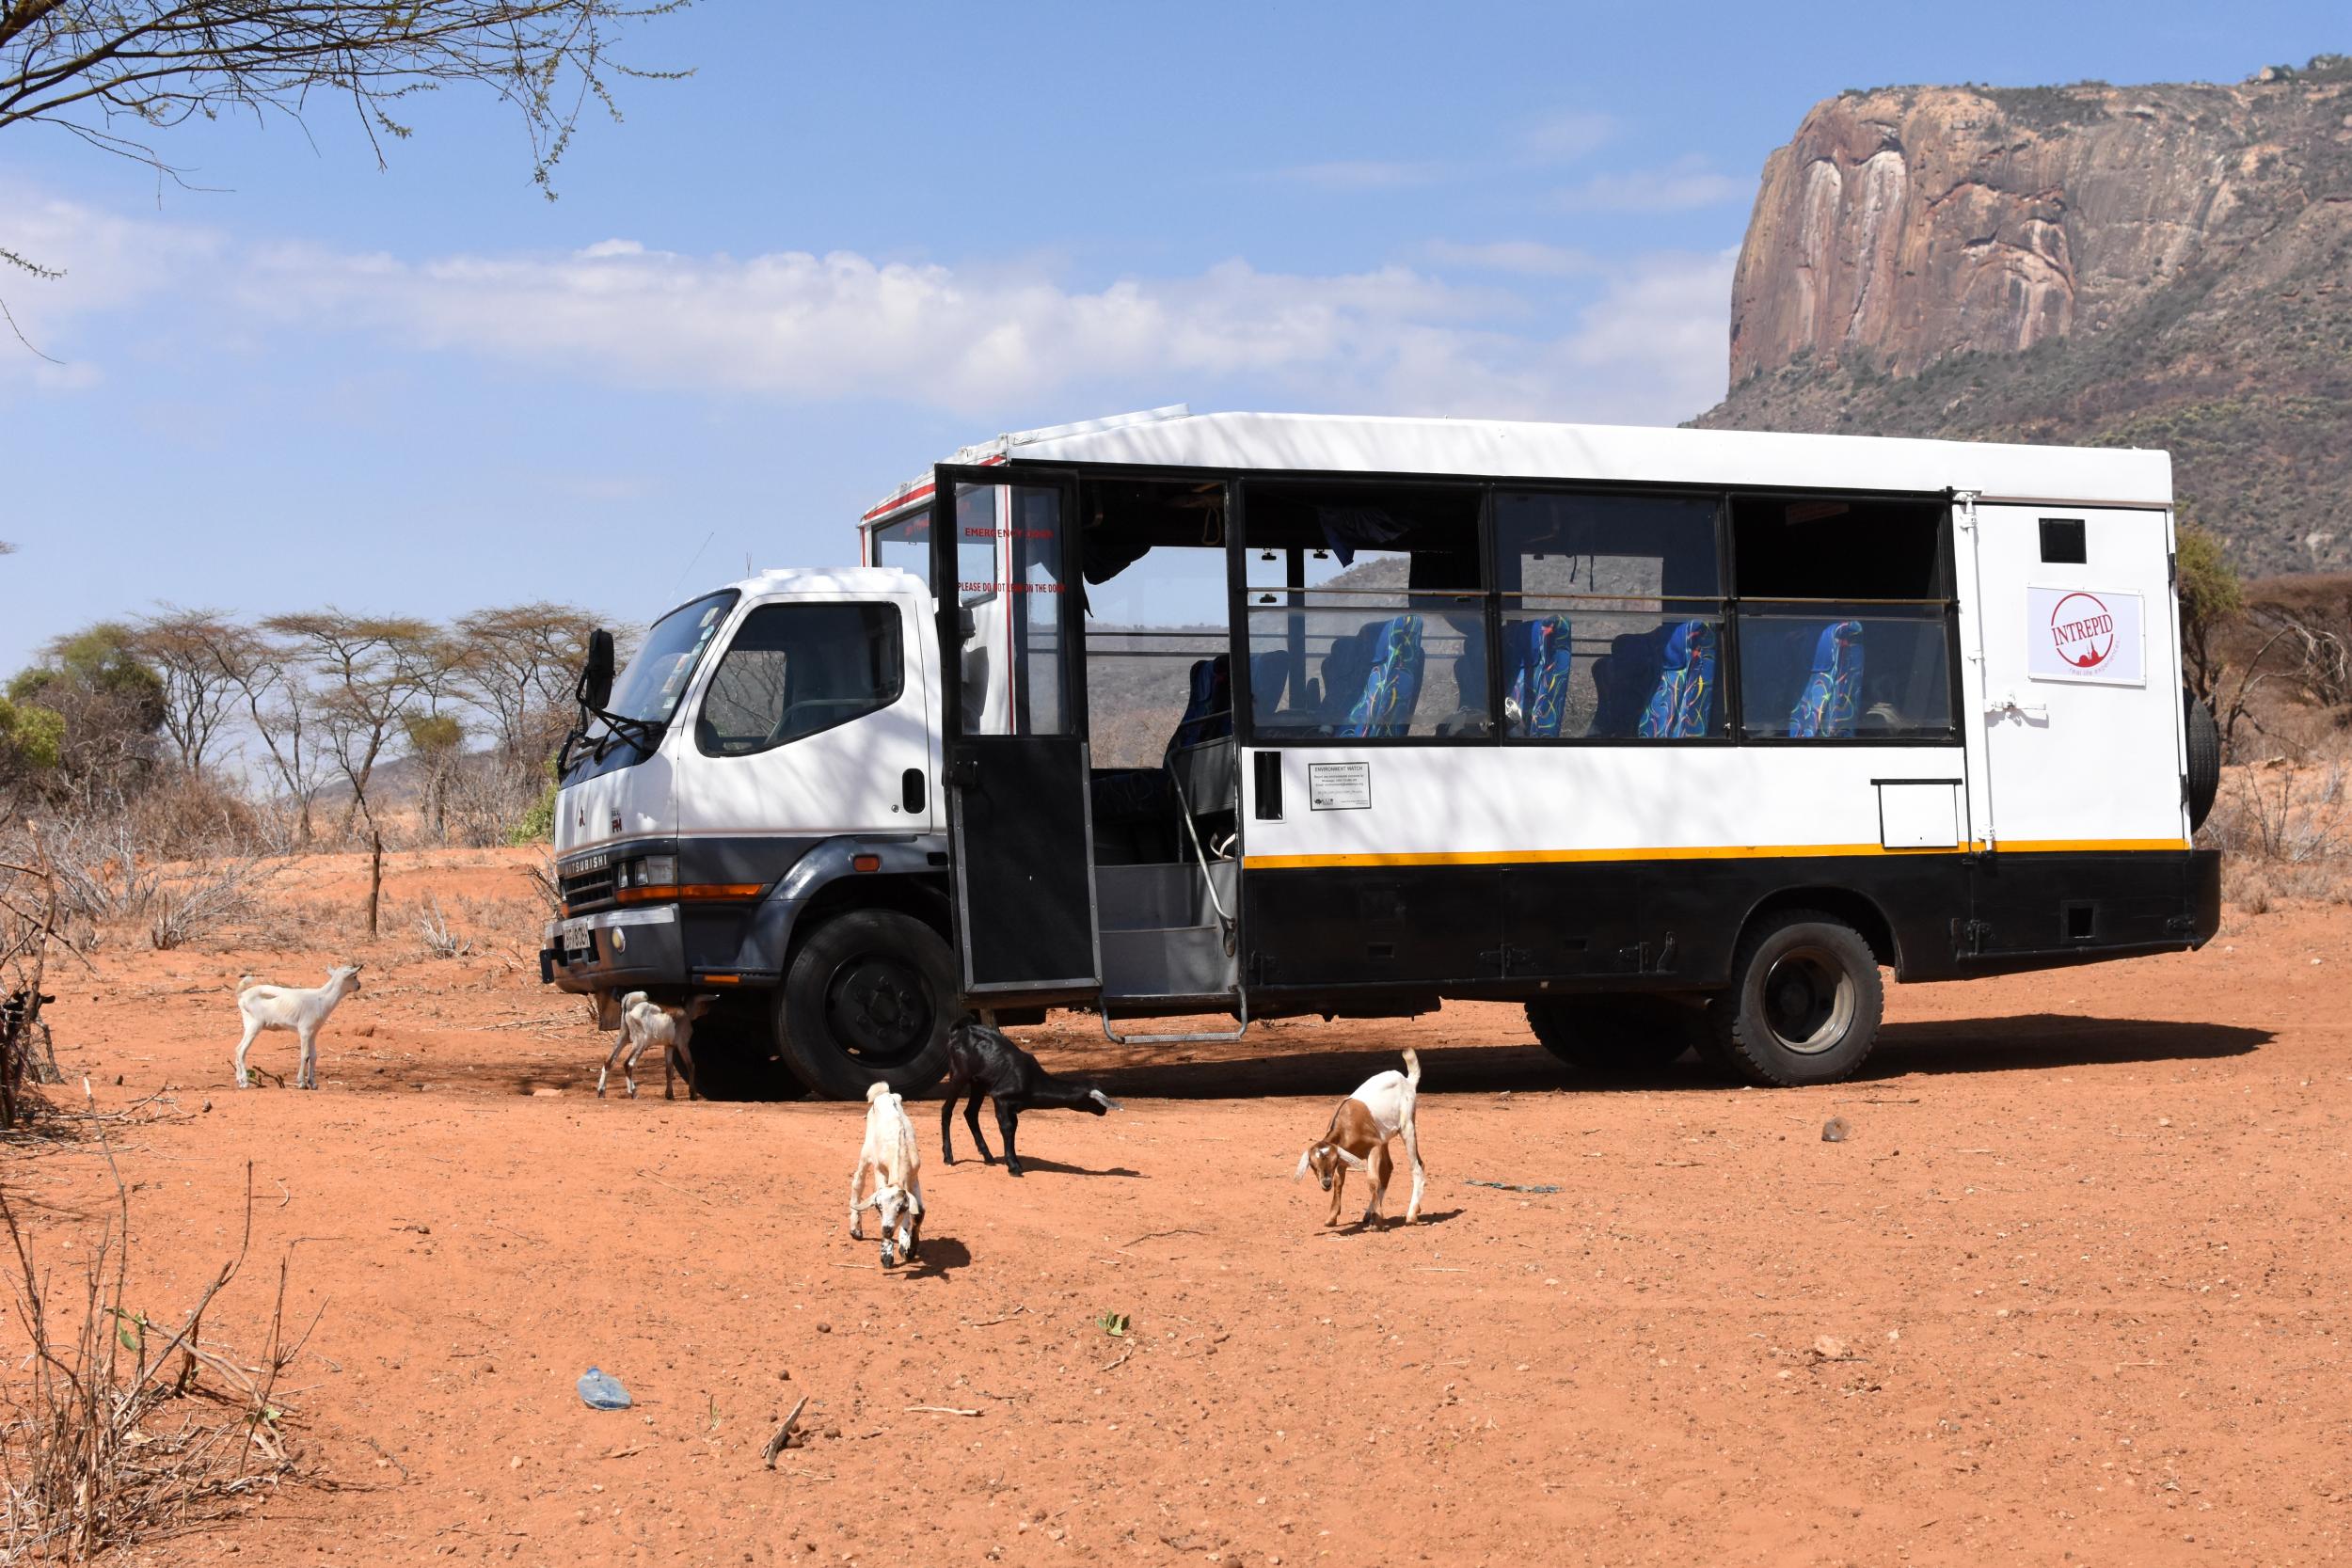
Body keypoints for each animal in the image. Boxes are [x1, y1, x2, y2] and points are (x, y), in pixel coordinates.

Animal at [231, 958, 359, 1090]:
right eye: (355, 976)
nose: (359, 986)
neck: (320, 999)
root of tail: (242, 995)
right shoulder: (304, 1031)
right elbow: (304, 1055)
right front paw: (301, 1082)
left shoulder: (313, 1033)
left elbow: (313, 1056)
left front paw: (313, 1083)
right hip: (255, 1026)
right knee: (241, 1050)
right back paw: (245, 1082)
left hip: (248, 1026)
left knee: (237, 1049)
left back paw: (239, 1080)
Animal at [847, 1085, 917, 1269]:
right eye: (878, 1207)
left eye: (901, 1208)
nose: (886, 1229)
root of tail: (884, 1093)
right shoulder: (879, 1170)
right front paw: (886, 1255)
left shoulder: (914, 1177)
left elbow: (917, 1212)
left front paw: (907, 1247)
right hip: (866, 1151)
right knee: (858, 1181)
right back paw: (855, 1229)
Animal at [936, 1020, 1120, 1175]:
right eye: (1092, 1100)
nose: (1104, 1111)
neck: (1031, 1079)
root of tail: (957, 1033)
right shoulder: (1001, 1099)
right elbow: (1007, 1128)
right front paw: (1013, 1167)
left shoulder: (1013, 1108)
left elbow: (1014, 1129)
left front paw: (1014, 1162)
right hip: (959, 1074)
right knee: (947, 1109)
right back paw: (948, 1156)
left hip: (978, 1083)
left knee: (970, 1113)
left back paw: (987, 1156)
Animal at [1298, 1053, 1421, 1222]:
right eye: (1312, 1164)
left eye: (1332, 1161)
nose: (1326, 1183)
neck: (1345, 1126)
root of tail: (1408, 1081)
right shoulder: (1345, 1155)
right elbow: (1339, 1182)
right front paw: (1331, 1218)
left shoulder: (1373, 1146)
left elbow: (1372, 1181)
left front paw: (1378, 1220)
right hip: (1384, 1138)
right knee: (1388, 1168)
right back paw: (1370, 1213)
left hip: (1407, 1125)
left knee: (1416, 1167)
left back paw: (1411, 1214)